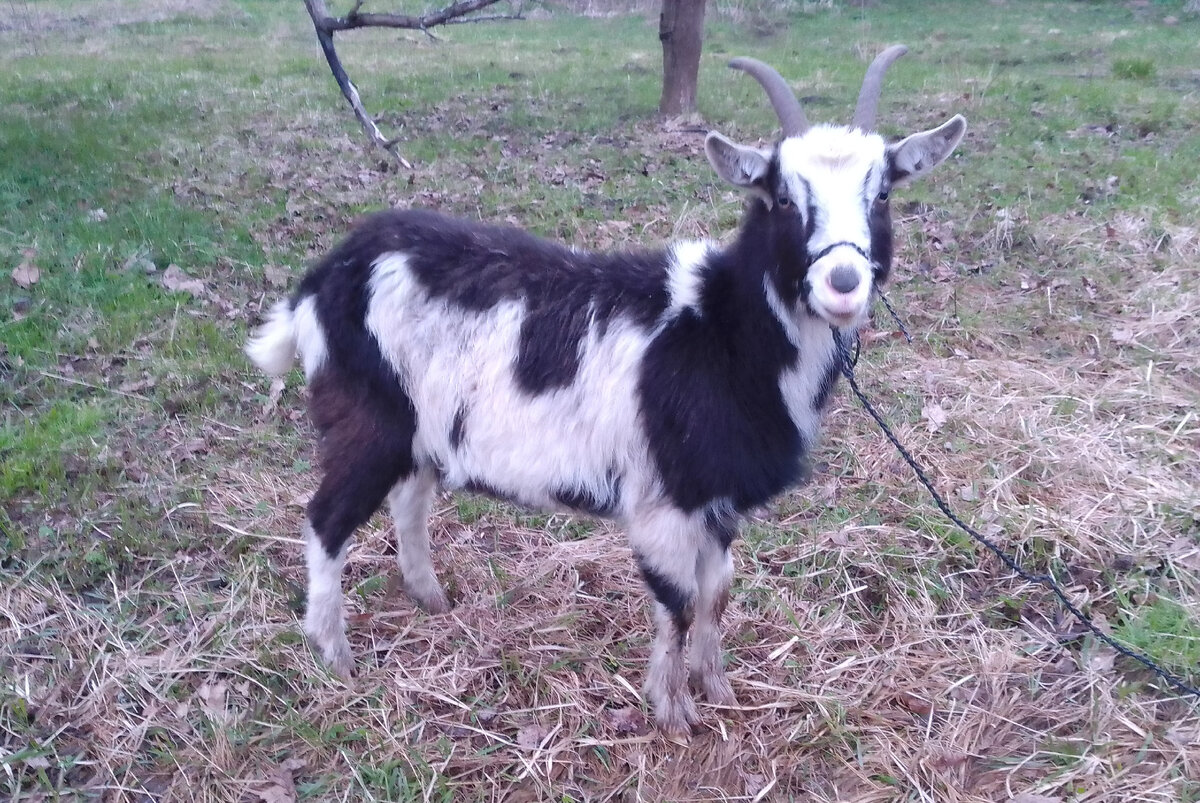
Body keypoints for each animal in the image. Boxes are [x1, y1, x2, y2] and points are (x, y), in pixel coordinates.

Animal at [246, 45, 964, 734]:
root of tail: (324, 276)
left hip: (423, 425)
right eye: (783, 197)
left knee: (410, 500)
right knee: (327, 519)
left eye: (883, 194)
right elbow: (678, 604)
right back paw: (335, 655)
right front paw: (673, 714)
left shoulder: (716, 500)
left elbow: (718, 593)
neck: (723, 331)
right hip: (368, 417)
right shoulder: (663, 506)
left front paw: (718, 687)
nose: (843, 281)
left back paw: (431, 599)